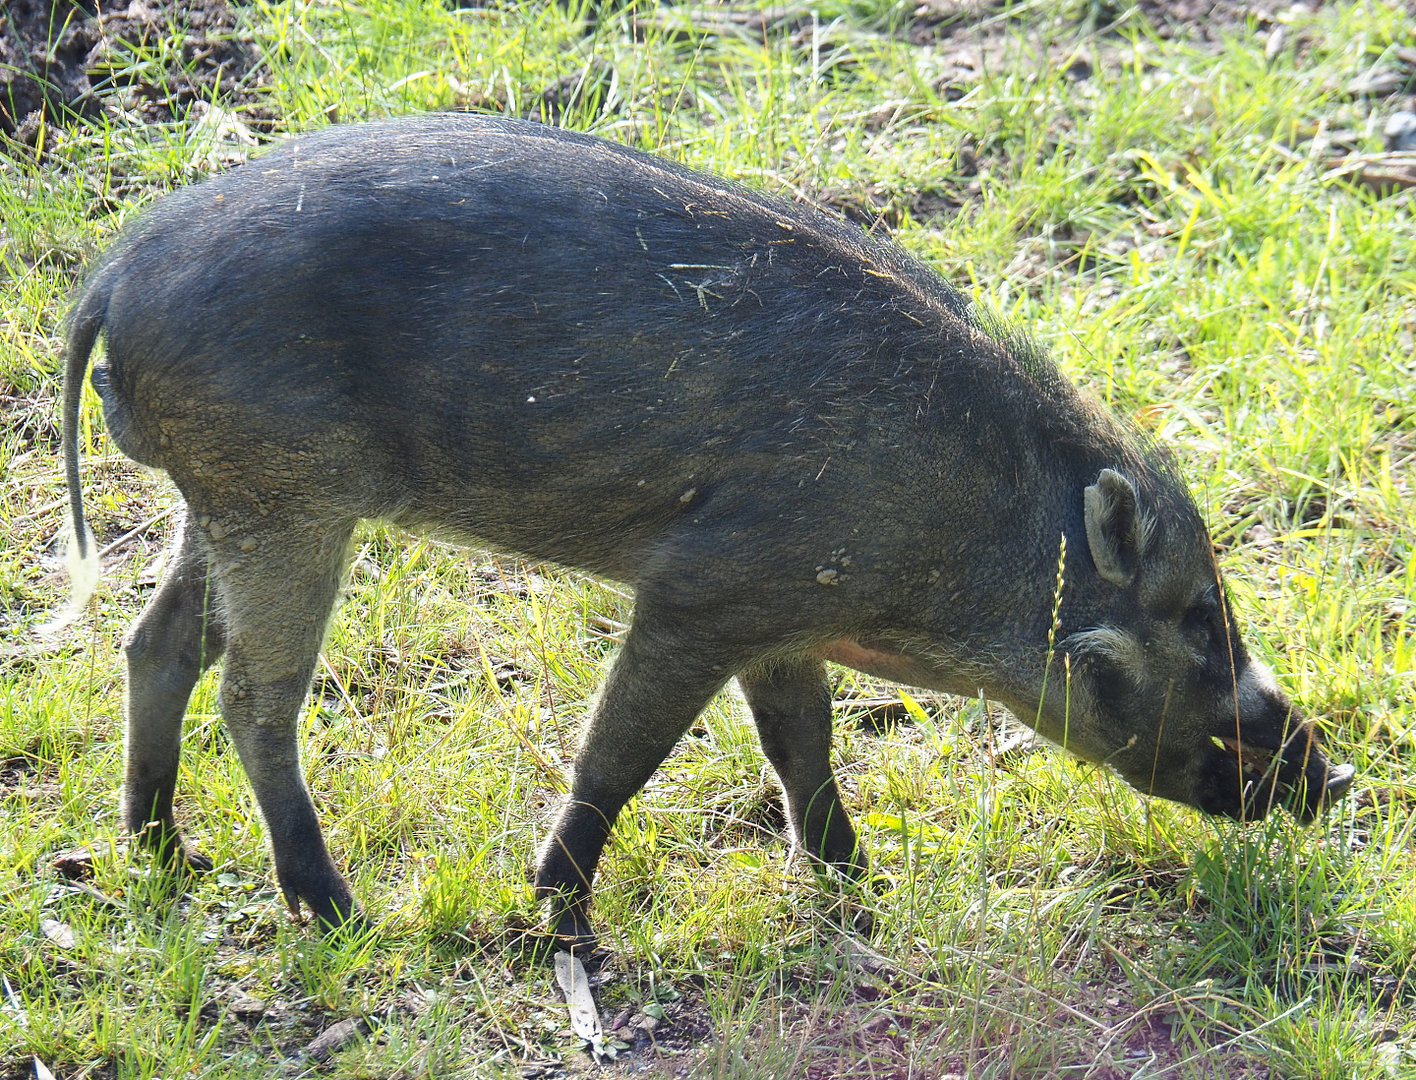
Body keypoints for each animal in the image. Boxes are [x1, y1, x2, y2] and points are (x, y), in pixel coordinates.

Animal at [53, 113, 1354, 948]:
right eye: (1189, 616)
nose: (1329, 776)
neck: (974, 524)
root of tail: (113, 275)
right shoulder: (707, 594)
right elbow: (618, 756)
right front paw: (557, 915)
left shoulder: (785, 619)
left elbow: (803, 753)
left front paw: (863, 892)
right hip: (288, 503)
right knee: (251, 696)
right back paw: (329, 908)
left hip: (222, 504)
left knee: (156, 647)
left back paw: (160, 851)